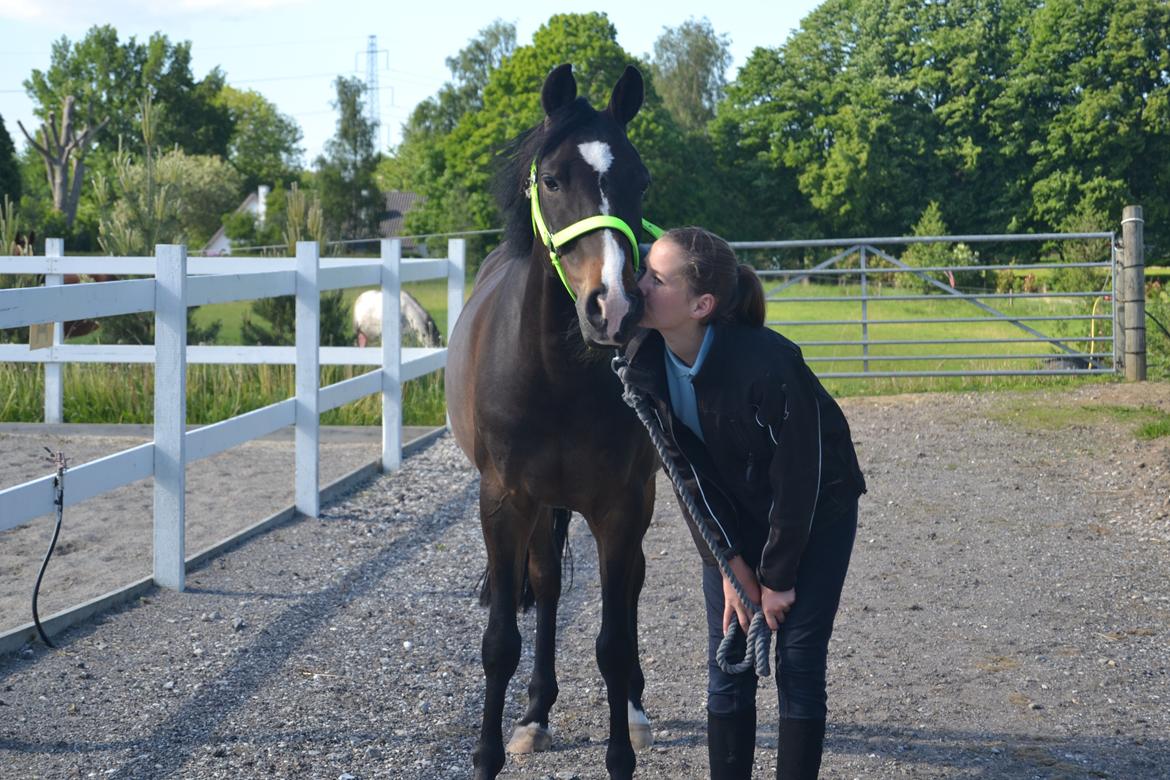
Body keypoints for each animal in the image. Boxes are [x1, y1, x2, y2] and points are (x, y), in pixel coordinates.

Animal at [445, 63, 658, 780]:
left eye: (640, 181)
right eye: (555, 179)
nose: (613, 306)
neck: (556, 376)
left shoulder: (623, 504)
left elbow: (614, 642)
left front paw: (621, 754)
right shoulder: (506, 500)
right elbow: (501, 640)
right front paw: (488, 753)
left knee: (630, 586)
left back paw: (637, 709)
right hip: (544, 505)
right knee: (543, 584)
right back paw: (535, 714)